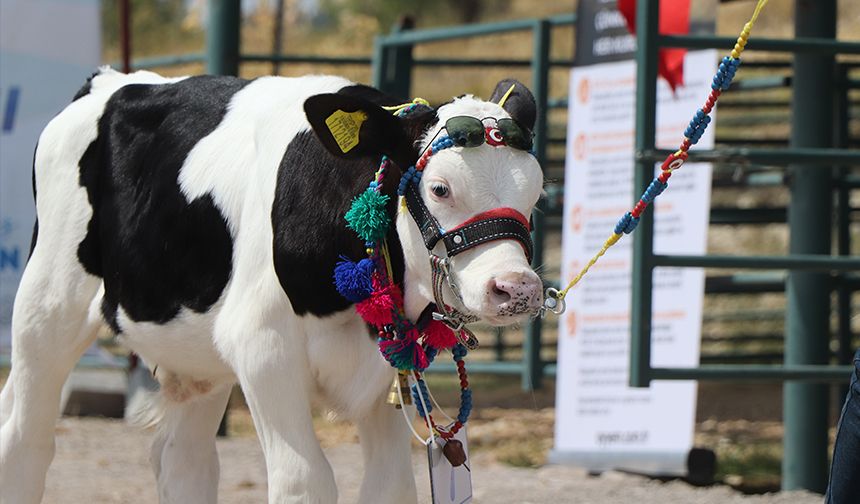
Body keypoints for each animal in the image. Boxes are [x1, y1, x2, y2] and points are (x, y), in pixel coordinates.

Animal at [0, 68, 544, 504]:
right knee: (25, 441)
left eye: (537, 192)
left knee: (184, 460)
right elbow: (304, 480)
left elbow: (390, 486)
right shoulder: (263, 347)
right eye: (440, 188)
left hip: (196, 354)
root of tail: (112, 80)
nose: (517, 287)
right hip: (46, 305)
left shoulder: (386, 373)